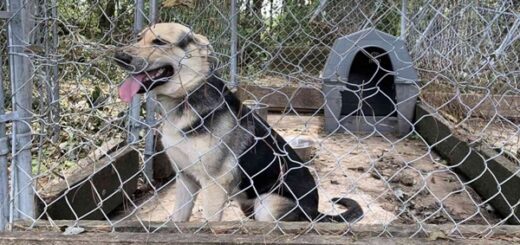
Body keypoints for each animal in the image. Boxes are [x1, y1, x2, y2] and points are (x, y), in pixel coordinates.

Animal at [114, 22, 362, 222]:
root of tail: (315, 212)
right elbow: (178, 220)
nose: (119, 57)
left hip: (267, 205)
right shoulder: (185, 180)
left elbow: (209, 224)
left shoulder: (214, 185)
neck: (186, 97)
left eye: (159, 42)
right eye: (138, 39)